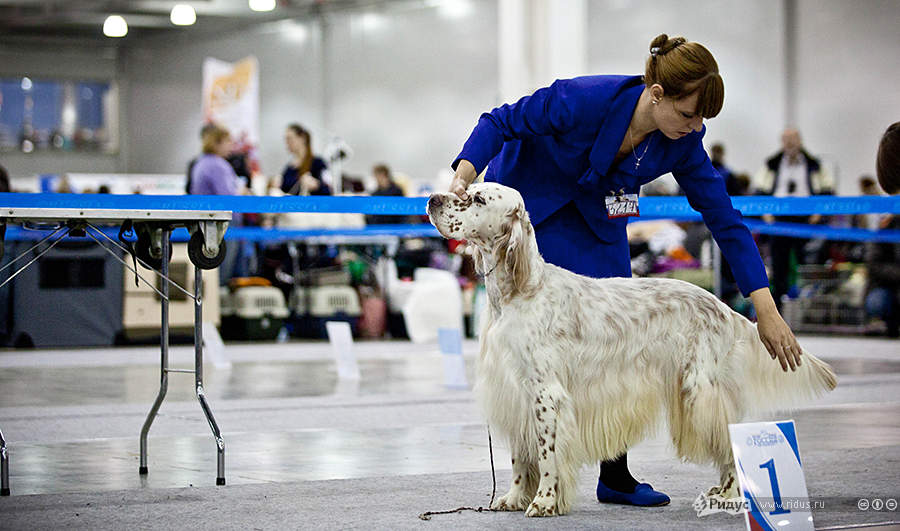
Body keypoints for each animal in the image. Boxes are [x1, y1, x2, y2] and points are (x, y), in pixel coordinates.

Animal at [428, 184, 836, 520]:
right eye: (465, 191)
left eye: (478, 199)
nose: (432, 200)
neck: (519, 292)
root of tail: (725, 308)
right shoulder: (513, 390)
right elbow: (519, 457)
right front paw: (513, 498)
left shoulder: (546, 395)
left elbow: (546, 455)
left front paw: (543, 502)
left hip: (700, 393)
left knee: (727, 440)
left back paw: (731, 495)